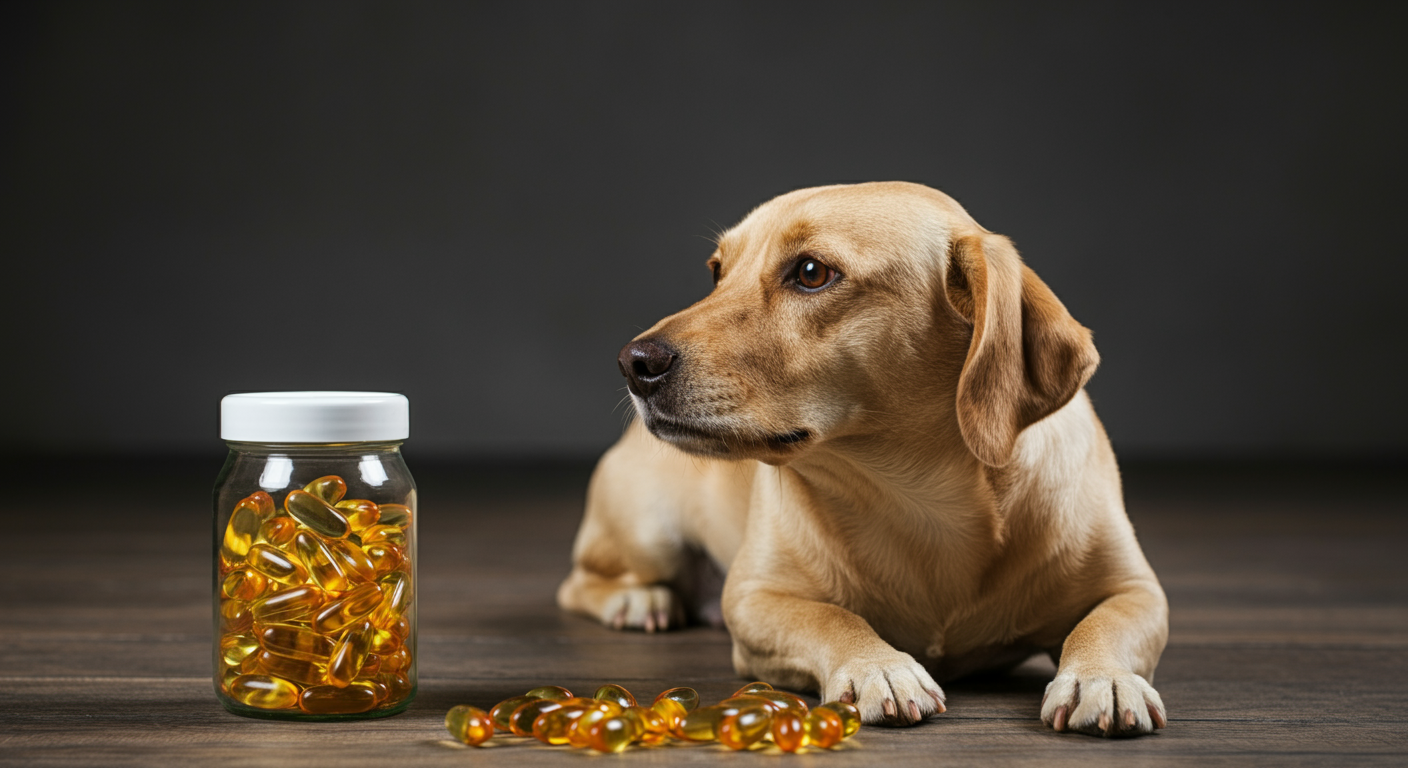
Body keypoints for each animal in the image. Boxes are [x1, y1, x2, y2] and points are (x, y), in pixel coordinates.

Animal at [557, 181, 1165, 738]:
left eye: (810, 272)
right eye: (716, 272)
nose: (633, 362)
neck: (924, 500)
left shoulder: (1139, 591)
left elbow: (1104, 624)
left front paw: (1102, 677)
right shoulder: (755, 601)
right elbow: (831, 616)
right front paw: (878, 665)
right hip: (649, 534)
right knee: (580, 581)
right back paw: (638, 600)